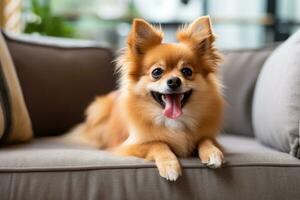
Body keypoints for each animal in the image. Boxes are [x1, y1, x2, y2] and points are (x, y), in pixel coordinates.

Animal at [66, 15, 225, 181]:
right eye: (157, 72)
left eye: (187, 71)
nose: (174, 81)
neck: (173, 121)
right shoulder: (129, 146)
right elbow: (158, 143)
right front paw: (170, 165)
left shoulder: (208, 137)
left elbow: (205, 139)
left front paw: (213, 152)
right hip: (98, 110)